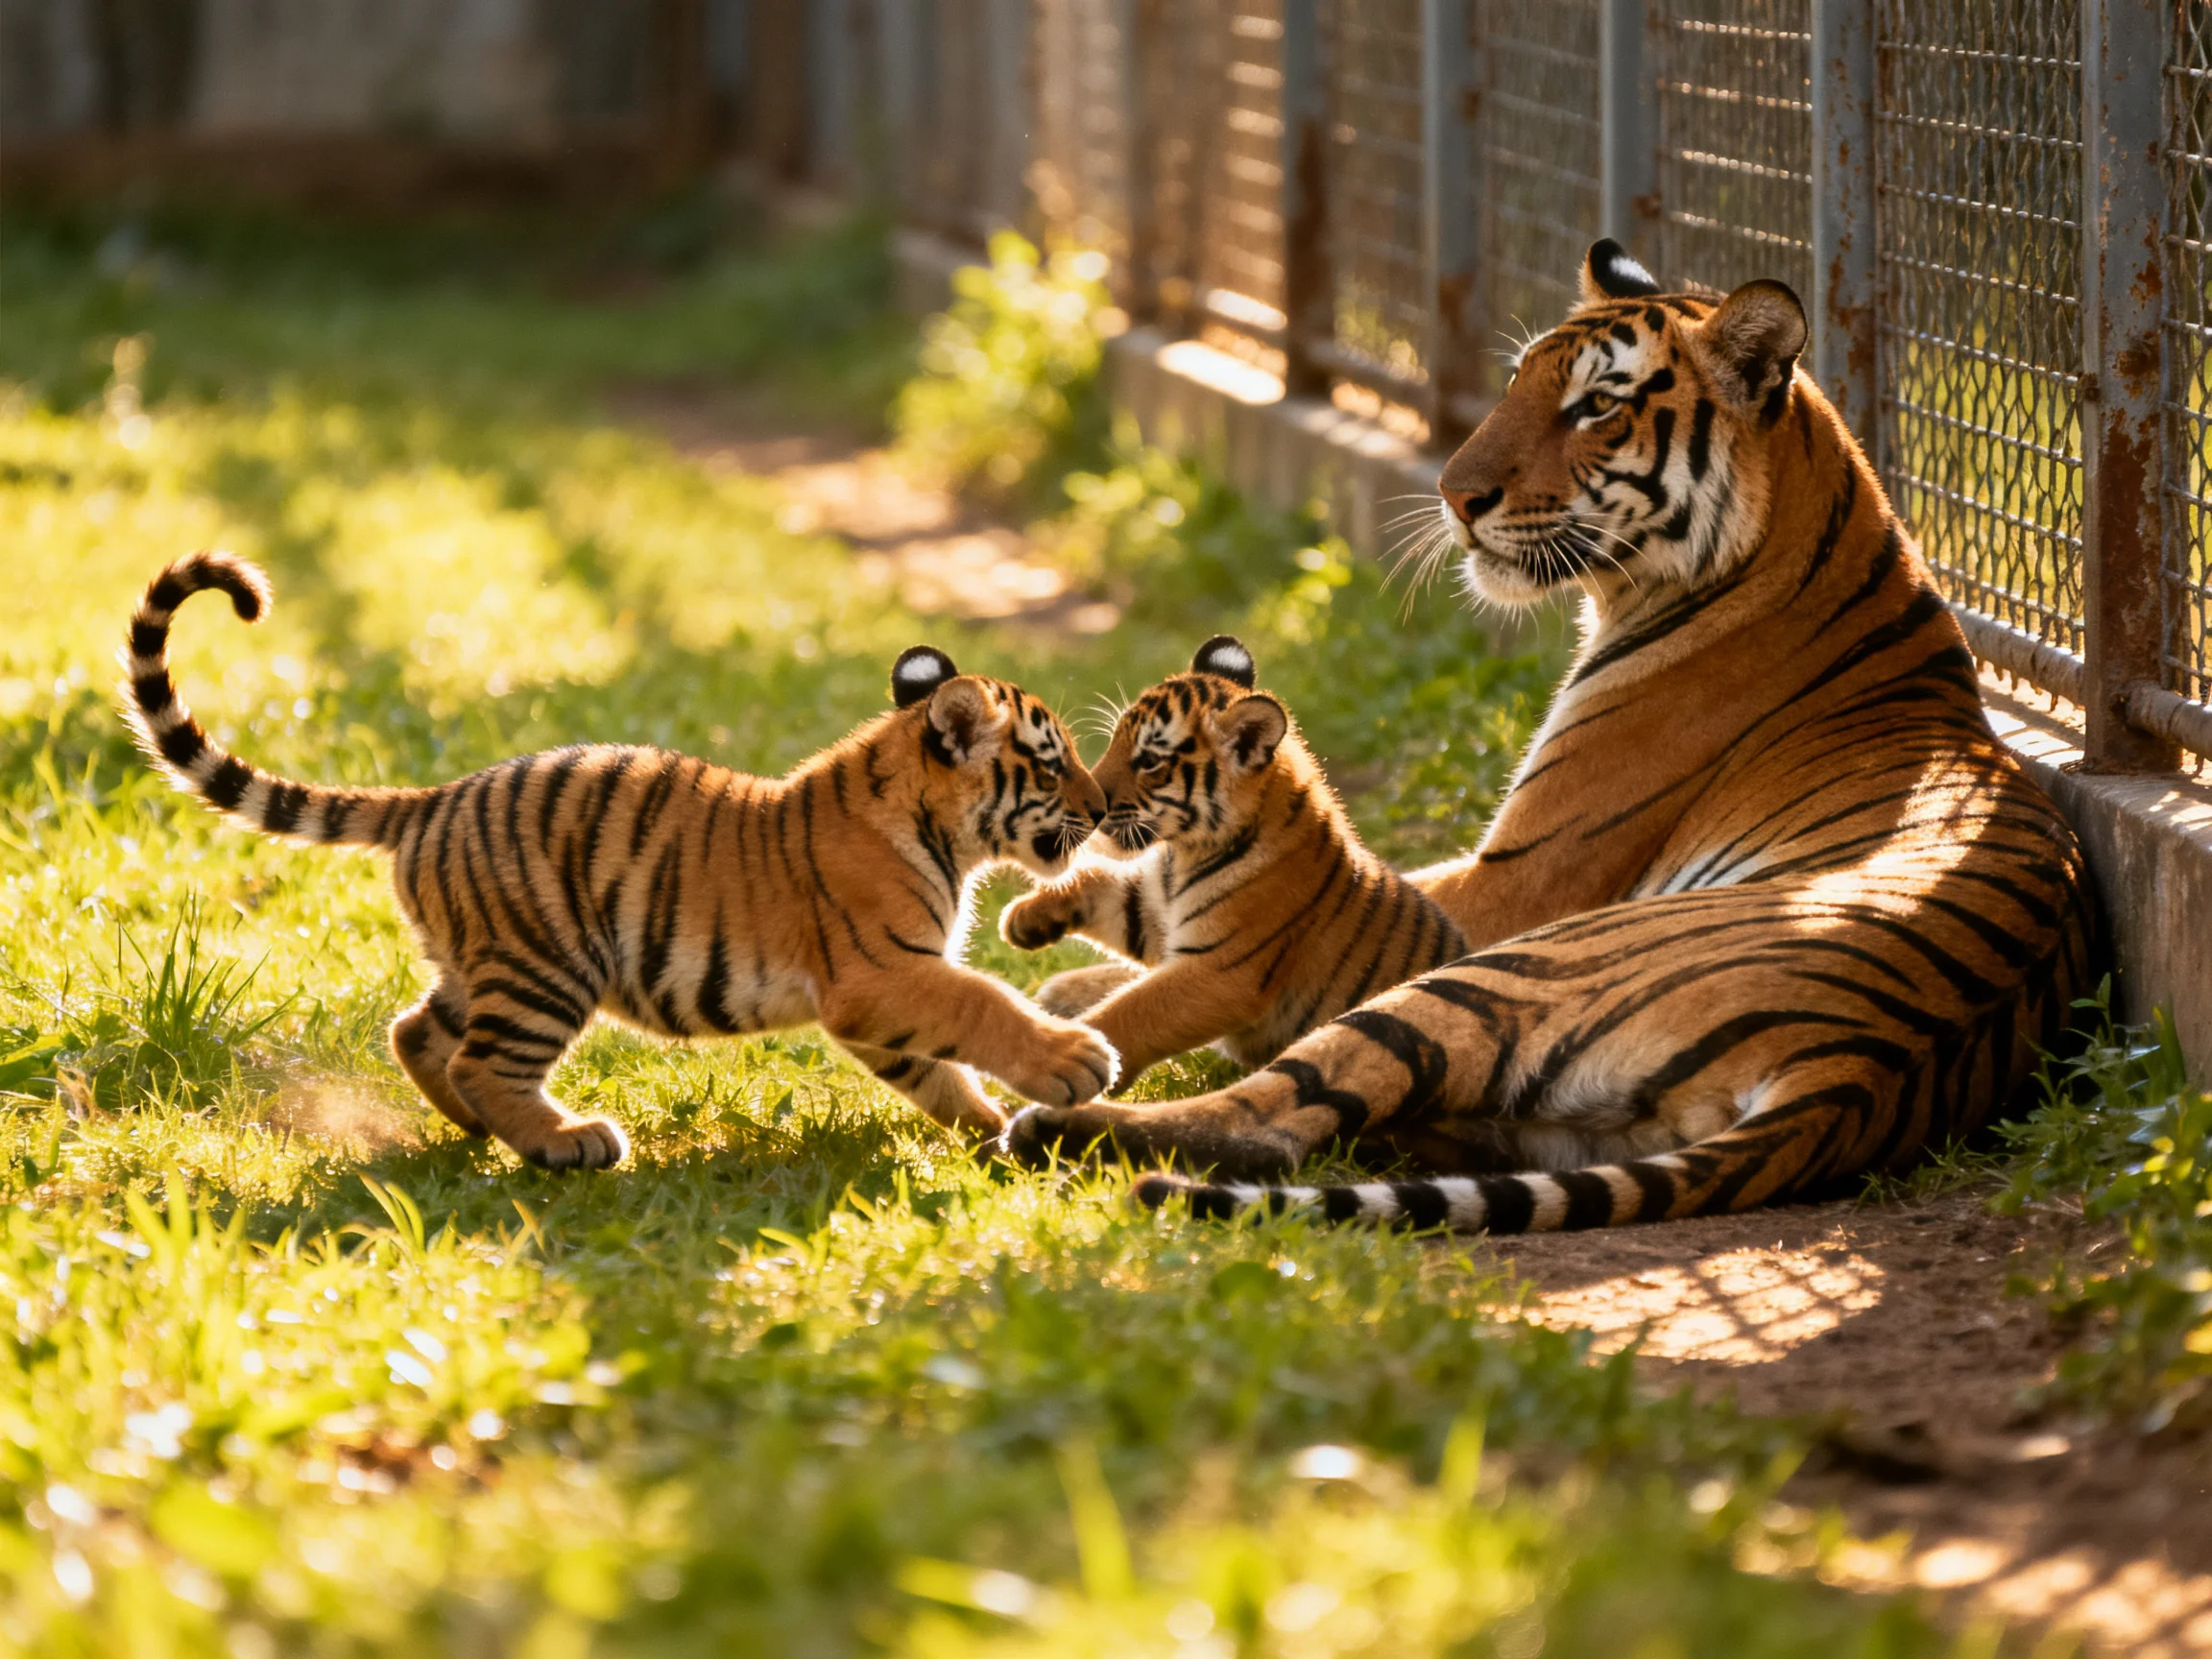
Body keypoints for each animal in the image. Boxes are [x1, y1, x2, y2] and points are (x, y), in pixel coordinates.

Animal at [123, 551, 1119, 1169]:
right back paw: (566, 1142)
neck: (938, 826)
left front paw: (990, 1129)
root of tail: (433, 799)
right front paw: (1072, 1062)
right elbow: (981, 1005)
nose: (1105, 807)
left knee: (419, 1035)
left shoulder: (876, 997)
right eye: (1050, 764)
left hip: (483, 963)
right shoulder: (879, 971)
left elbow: (935, 1067)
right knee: (483, 1063)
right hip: (547, 964)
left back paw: (484, 1131)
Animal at [997, 635, 1466, 1088]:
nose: (1092, 806)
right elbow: (1100, 884)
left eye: (1149, 761)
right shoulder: (1158, 917)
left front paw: (1083, 1058)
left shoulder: (1222, 969)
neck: (1184, 853)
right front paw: (1023, 919)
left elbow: (1131, 1012)